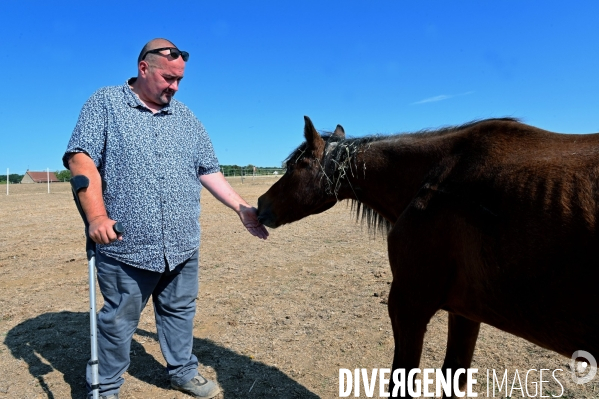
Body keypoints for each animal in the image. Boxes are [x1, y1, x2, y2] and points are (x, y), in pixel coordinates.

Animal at [258, 115, 599, 396]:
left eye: (294, 166)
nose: (260, 205)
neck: (438, 180)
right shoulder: (465, 313)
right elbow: (453, 377)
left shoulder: (408, 307)